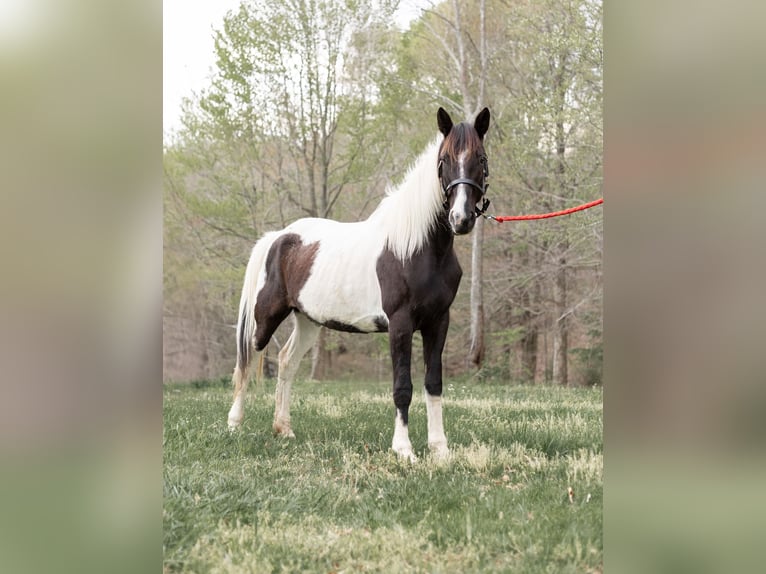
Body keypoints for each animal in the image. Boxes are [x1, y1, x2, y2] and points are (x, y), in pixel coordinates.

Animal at [227, 107, 491, 461]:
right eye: (445, 159)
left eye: (480, 158)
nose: (461, 219)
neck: (415, 248)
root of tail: (279, 237)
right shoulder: (400, 324)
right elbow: (402, 386)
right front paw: (404, 450)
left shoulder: (438, 322)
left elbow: (433, 383)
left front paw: (440, 450)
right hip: (265, 318)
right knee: (246, 360)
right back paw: (234, 424)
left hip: (308, 321)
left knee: (286, 361)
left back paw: (284, 429)